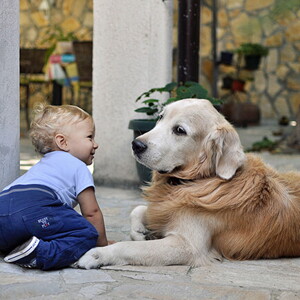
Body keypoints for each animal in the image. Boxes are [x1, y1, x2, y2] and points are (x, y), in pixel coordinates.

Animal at [77, 99, 300, 270]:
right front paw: (141, 232)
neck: (197, 180)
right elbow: (138, 210)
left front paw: (96, 254)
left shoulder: (187, 245)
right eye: (160, 117)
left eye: (179, 130)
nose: (136, 144)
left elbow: (128, 247)